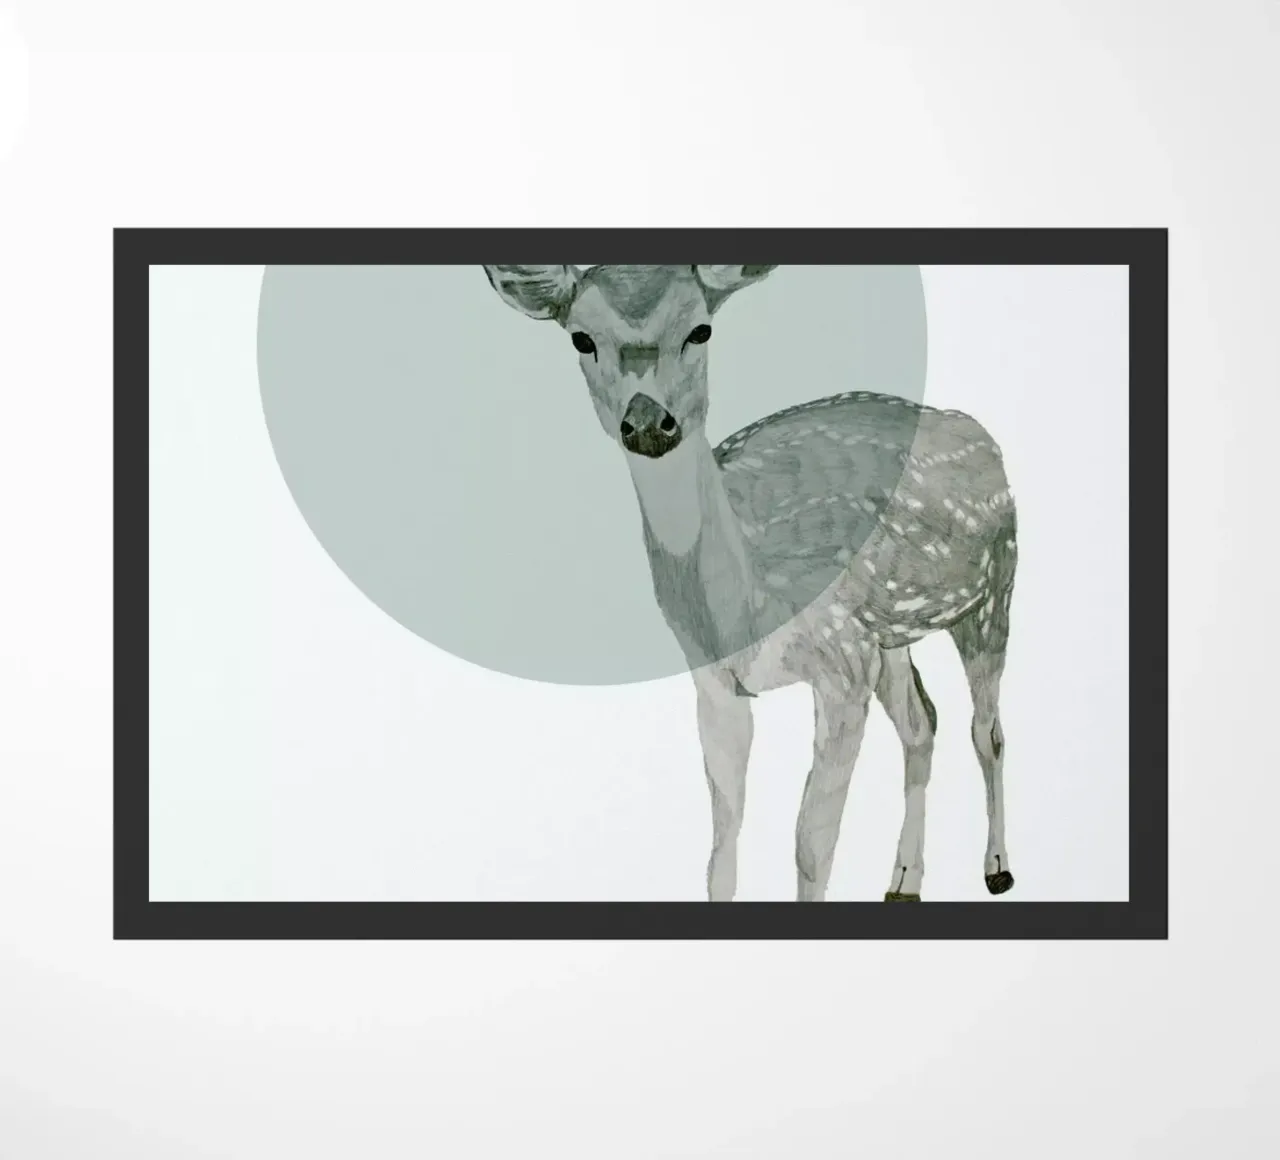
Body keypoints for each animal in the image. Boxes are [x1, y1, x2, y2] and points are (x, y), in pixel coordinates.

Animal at [482, 264, 1018, 902]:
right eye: (580, 338)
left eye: (701, 329)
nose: (647, 422)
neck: (745, 607)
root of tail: (978, 430)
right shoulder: (714, 680)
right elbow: (722, 843)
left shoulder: (841, 659)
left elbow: (812, 841)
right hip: (892, 632)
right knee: (922, 723)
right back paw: (904, 881)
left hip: (995, 585)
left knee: (986, 728)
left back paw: (997, 868)